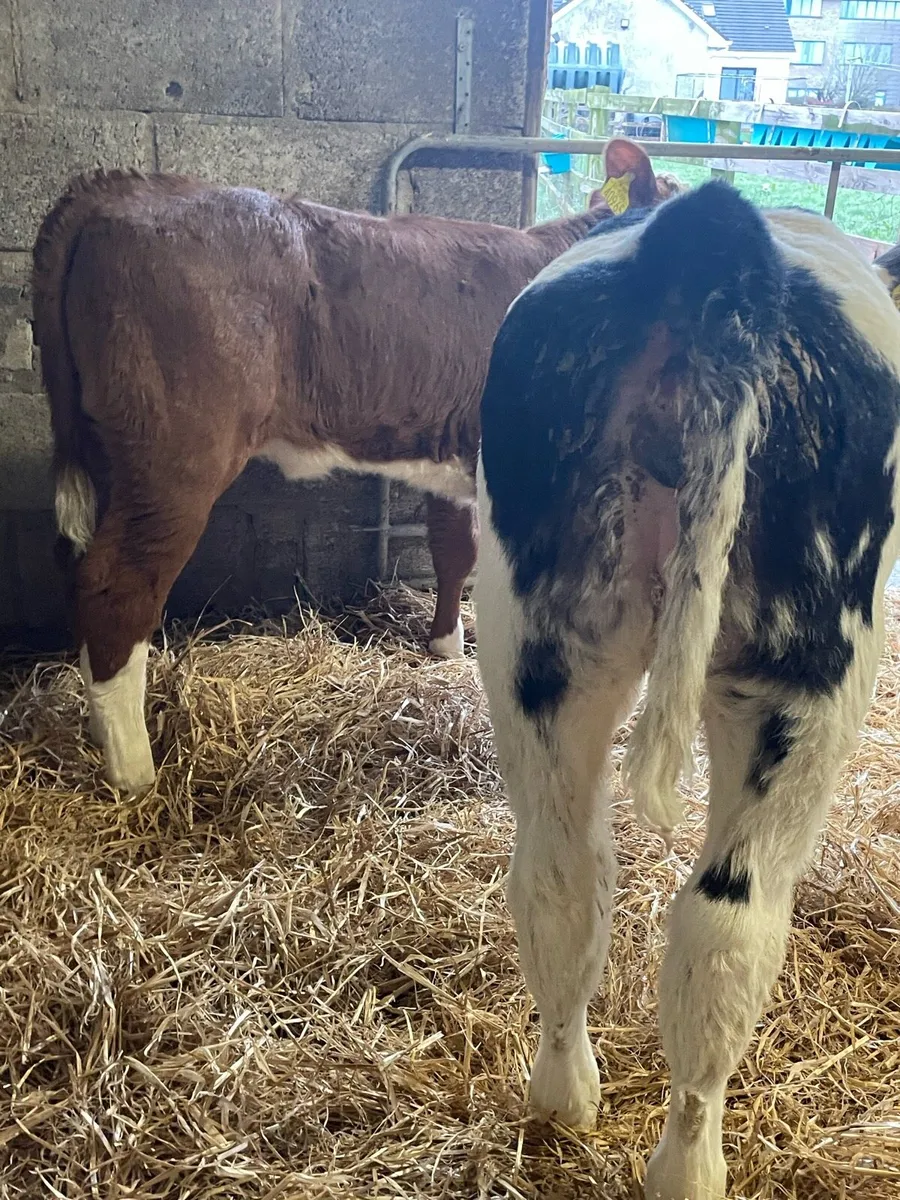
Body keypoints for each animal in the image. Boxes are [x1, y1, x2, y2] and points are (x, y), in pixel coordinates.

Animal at [31, 141, 679, 794]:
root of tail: (125, 187)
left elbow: (454, 550)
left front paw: (445, 648)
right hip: (176, 460)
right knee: (118, 586)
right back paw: (134, 770)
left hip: (107, 453)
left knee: (77, 563)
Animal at [474, 142, 900, 1199]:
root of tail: (712, 249)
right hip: (813, 672)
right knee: (729, 925)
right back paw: (690, 1167)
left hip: (537, 640)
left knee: (564, 874)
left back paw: (563, 1098)